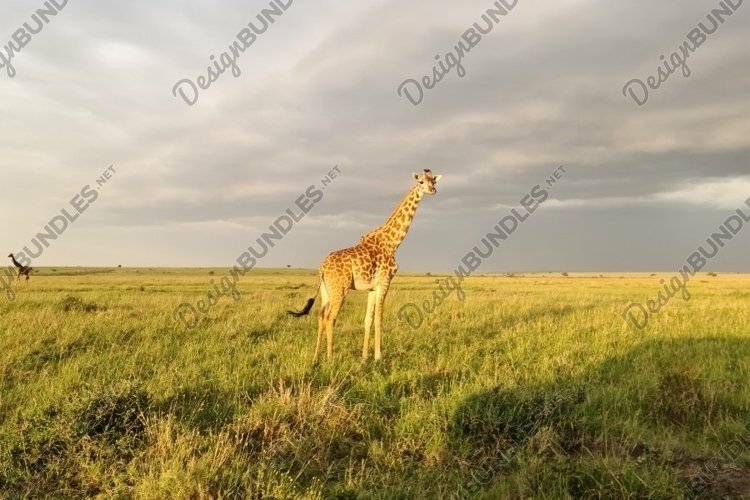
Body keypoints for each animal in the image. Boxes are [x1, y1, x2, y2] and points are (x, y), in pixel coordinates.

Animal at [289, 169, 442, 361]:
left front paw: (364, 356)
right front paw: (378, 356)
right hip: (340, 289)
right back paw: (330, 358)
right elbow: (379, 318)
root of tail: (321, 268)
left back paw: (316, 357)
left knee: (321, 317)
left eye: (433, 181)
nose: (433, 190)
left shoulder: (372, 287)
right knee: (331, 318)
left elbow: (368, 319)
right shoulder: (385, 281)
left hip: (326, 290)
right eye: (421, 182)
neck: (392, 242)